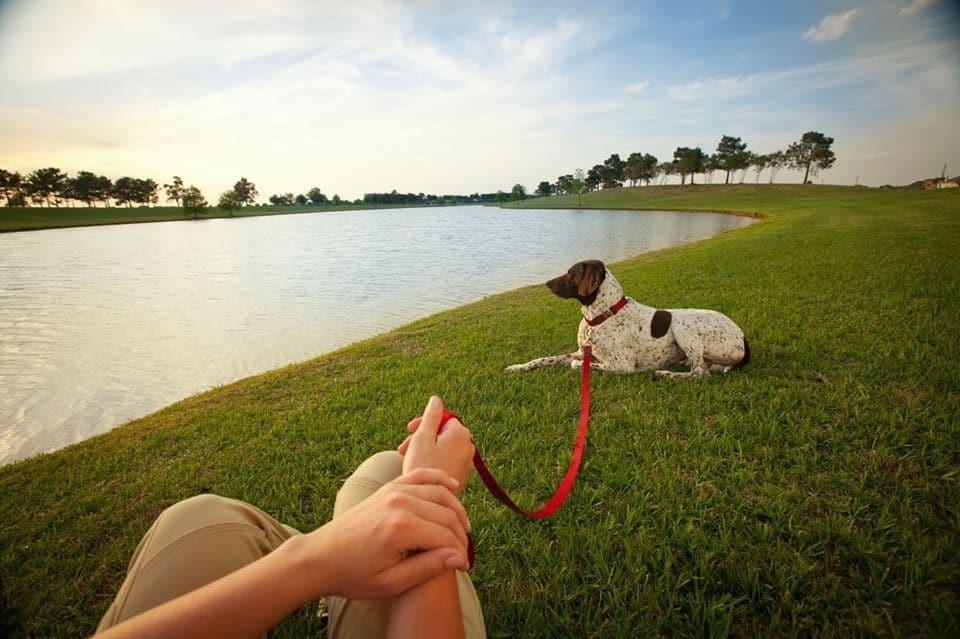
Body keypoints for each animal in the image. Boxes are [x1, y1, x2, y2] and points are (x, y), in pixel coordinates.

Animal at [502, 260, 752, 380]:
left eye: (572, 273)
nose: (546, 283)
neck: (600, 317)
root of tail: (743, 337)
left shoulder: (621, 365)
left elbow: (580, 366)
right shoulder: (581, 352)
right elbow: (543, 359)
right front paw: (518, 366)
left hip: (682, 323)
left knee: (700, 373)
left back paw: (664, 373)